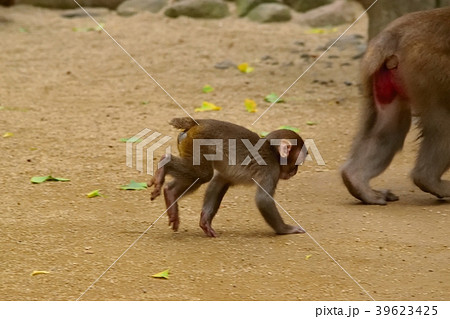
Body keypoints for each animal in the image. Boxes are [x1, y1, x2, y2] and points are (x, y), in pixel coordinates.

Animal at [149, 118, 308, 238]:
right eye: (297, 162)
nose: (295, 171)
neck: (273, 151)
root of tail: (197, 123)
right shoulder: (271, 170)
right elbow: (263, 200)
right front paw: (286, 229)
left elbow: (219, 181)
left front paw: (205, 221)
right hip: (197, 142)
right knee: (202, 174)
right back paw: (165, 163)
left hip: (187, 143)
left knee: (200, 176)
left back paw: (170, 193)